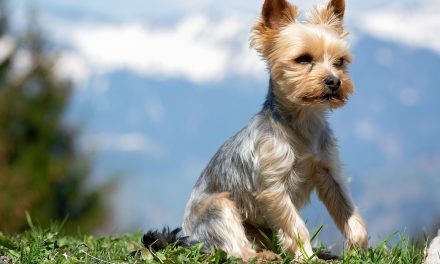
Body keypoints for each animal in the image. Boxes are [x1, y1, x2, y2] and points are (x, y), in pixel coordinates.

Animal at [144, 0, 368, 260]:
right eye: (303, 59)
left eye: (340, 61)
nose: (334, 81)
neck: (303, 122)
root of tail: (188, 238)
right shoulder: (274, 187)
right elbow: (295, 226)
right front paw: (306, 256)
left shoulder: (329, 172)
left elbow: (350, 214)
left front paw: (356, 251)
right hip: (219, 207)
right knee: (235, 249)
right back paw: (262, 256)